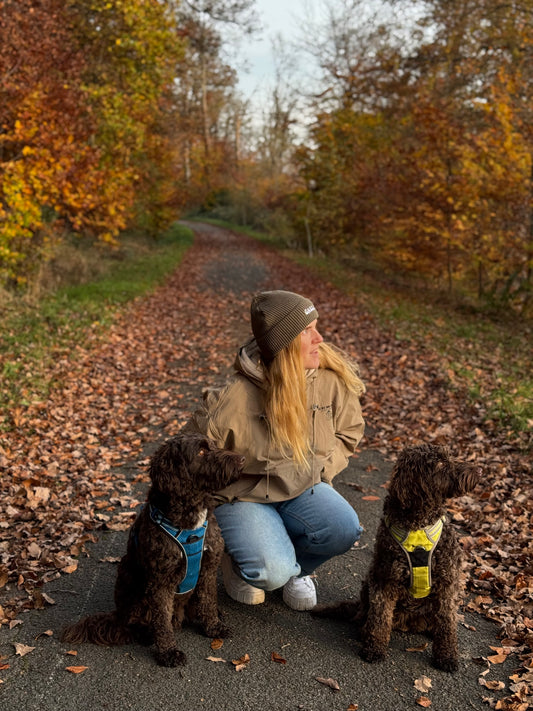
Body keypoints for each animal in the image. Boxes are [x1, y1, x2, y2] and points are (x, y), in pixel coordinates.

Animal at [310, 444, 480, 672]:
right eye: (440, 464)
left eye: (449, 456)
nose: (478, 470)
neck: (418, 526)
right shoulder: (385, 580)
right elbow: (380, 618)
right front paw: (374, 649)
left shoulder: (446, 582)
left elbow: (447, 623)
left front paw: (447, 656)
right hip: (369, 582)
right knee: (367, 617)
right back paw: (364, 631)